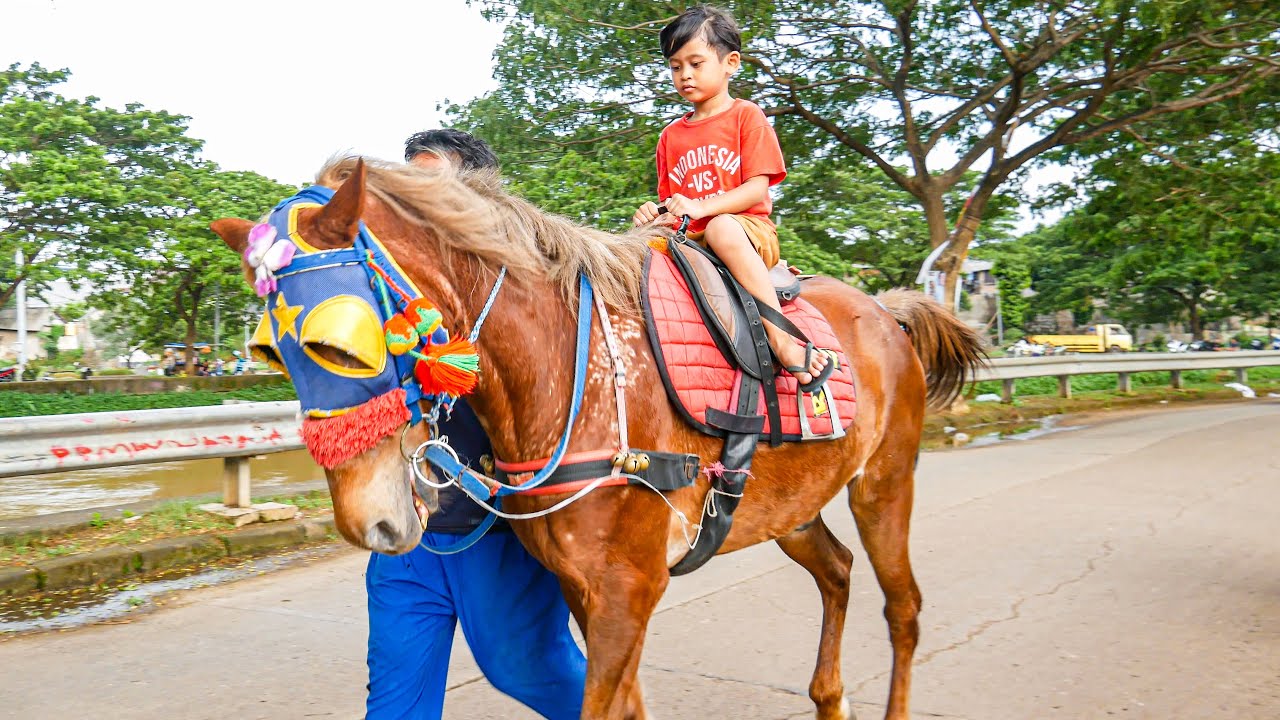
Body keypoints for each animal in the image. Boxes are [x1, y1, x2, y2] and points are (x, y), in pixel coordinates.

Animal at [215, 156, 983, 717]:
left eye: (338, 346)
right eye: (269, 354)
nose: (367, 521)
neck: (568, 371)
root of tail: (884, 309)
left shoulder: (627, 588)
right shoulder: (583, 588)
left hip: (885, 481)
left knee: (904, 608)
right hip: (788, 507)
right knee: (838, 571)